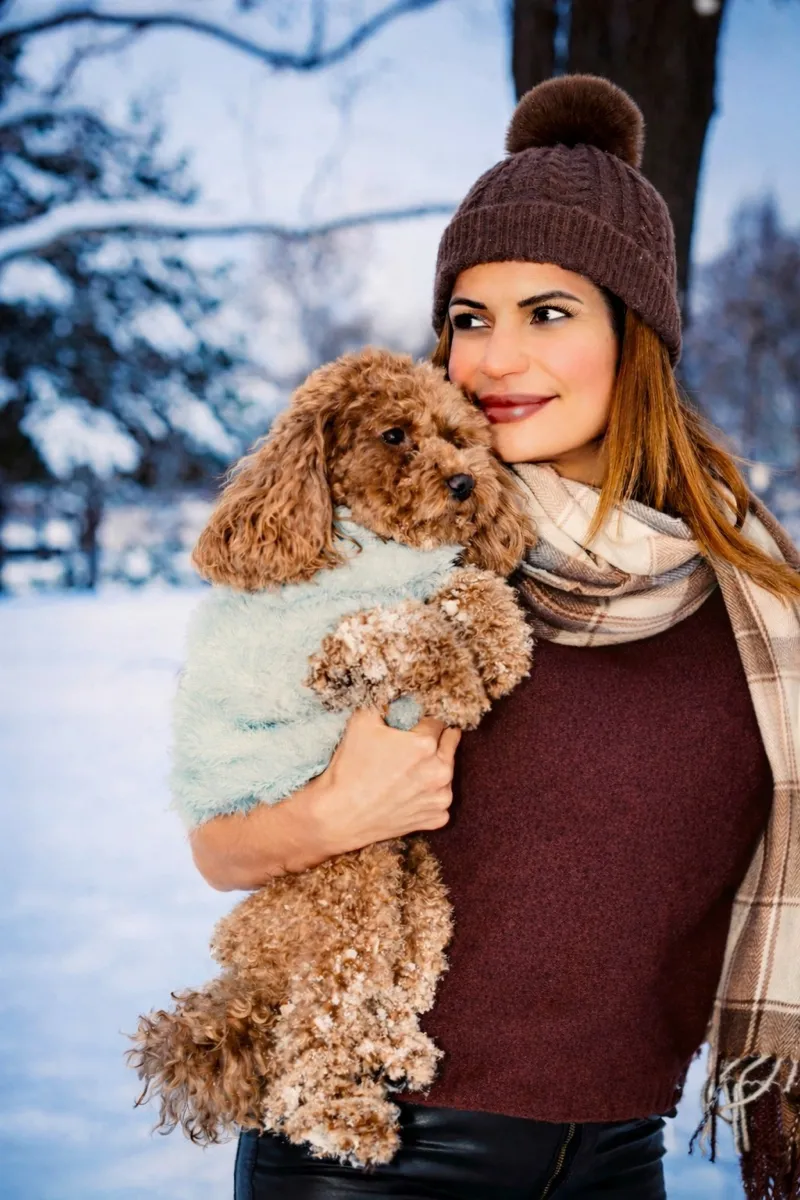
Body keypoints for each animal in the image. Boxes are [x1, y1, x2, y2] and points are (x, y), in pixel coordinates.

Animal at [127, 347, 535, 1168]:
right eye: (394, 435)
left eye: (458, 436)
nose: (466, 483)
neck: (366, 548)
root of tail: (246, 974)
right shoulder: (324, 656)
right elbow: (401, 623)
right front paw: (457, 677)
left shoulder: (441, 576)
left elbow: (472, 588)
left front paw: (497, 646)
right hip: (345, 887)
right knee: (314, 1035)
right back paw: (342, 1116)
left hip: (415, 879)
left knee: (396, 981)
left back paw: (402, 1051)